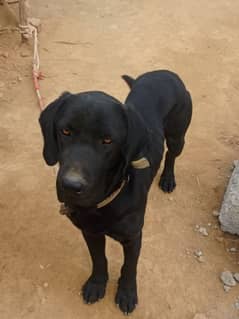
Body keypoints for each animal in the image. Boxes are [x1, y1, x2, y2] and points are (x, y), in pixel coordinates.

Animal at [39, 69, 192, 316]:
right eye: (66, 131)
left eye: (107, 140)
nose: (71, 186)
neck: (104, 203)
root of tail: (165, 72)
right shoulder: (90, 231)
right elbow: (99, 259)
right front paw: (97, 283)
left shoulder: (133, 237)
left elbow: (129, 267)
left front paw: (127, 293)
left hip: (178, 135)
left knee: (171, 154)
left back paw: (168, 178)